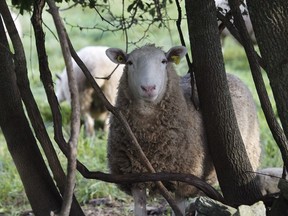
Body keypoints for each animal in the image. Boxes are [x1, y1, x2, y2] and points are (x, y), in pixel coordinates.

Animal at [105, 44, 260, 215]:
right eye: (130, 62)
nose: (148, 88)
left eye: (164, 61)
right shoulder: (136, 178)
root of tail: (229, 74)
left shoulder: (184, 181)